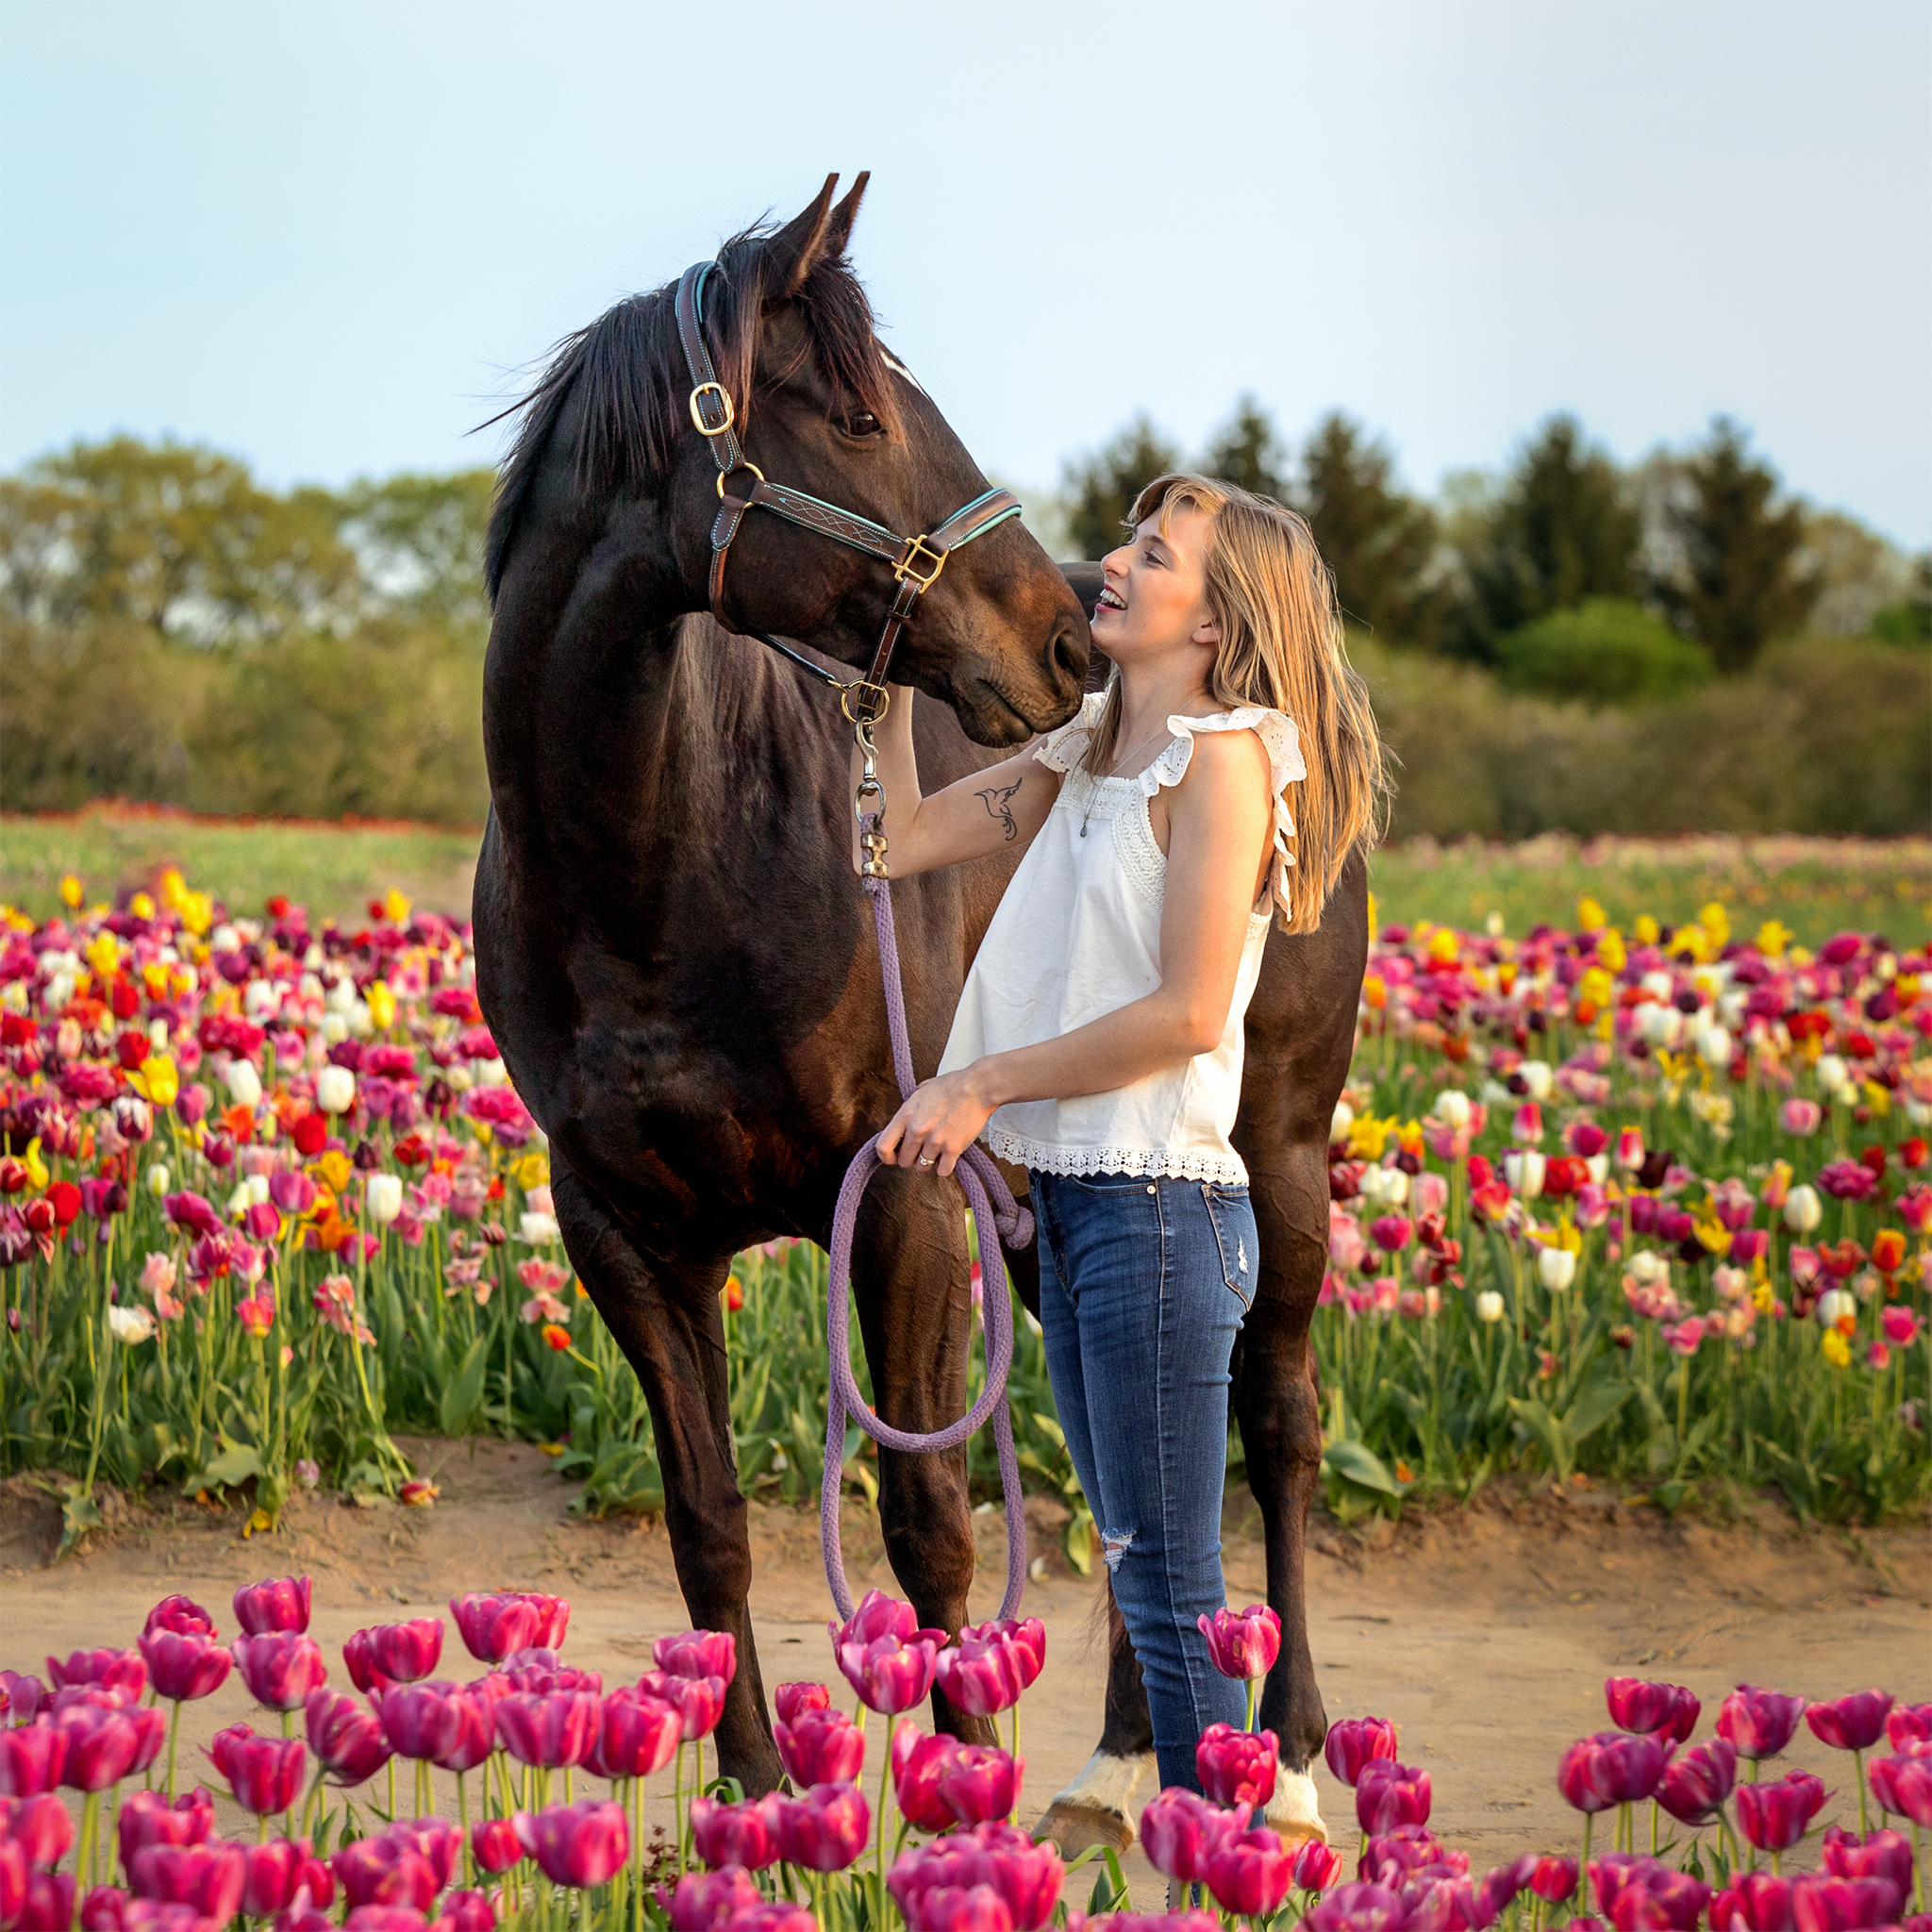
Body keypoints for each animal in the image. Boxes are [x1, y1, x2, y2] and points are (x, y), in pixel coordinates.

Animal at [473, 173, 1366, 1850]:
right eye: (862, 417)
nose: (1071, 648)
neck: (652, 875)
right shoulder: (623, 1233)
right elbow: (706, 1522)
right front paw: (755, 1803)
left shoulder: (899, 1195)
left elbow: (934, 1521)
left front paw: (957, 1813)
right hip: (1048, 1195)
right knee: (1131, 1458)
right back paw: (1127, 1757)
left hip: (1274, 1152)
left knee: (1273, 1421)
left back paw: (1287, 1751)